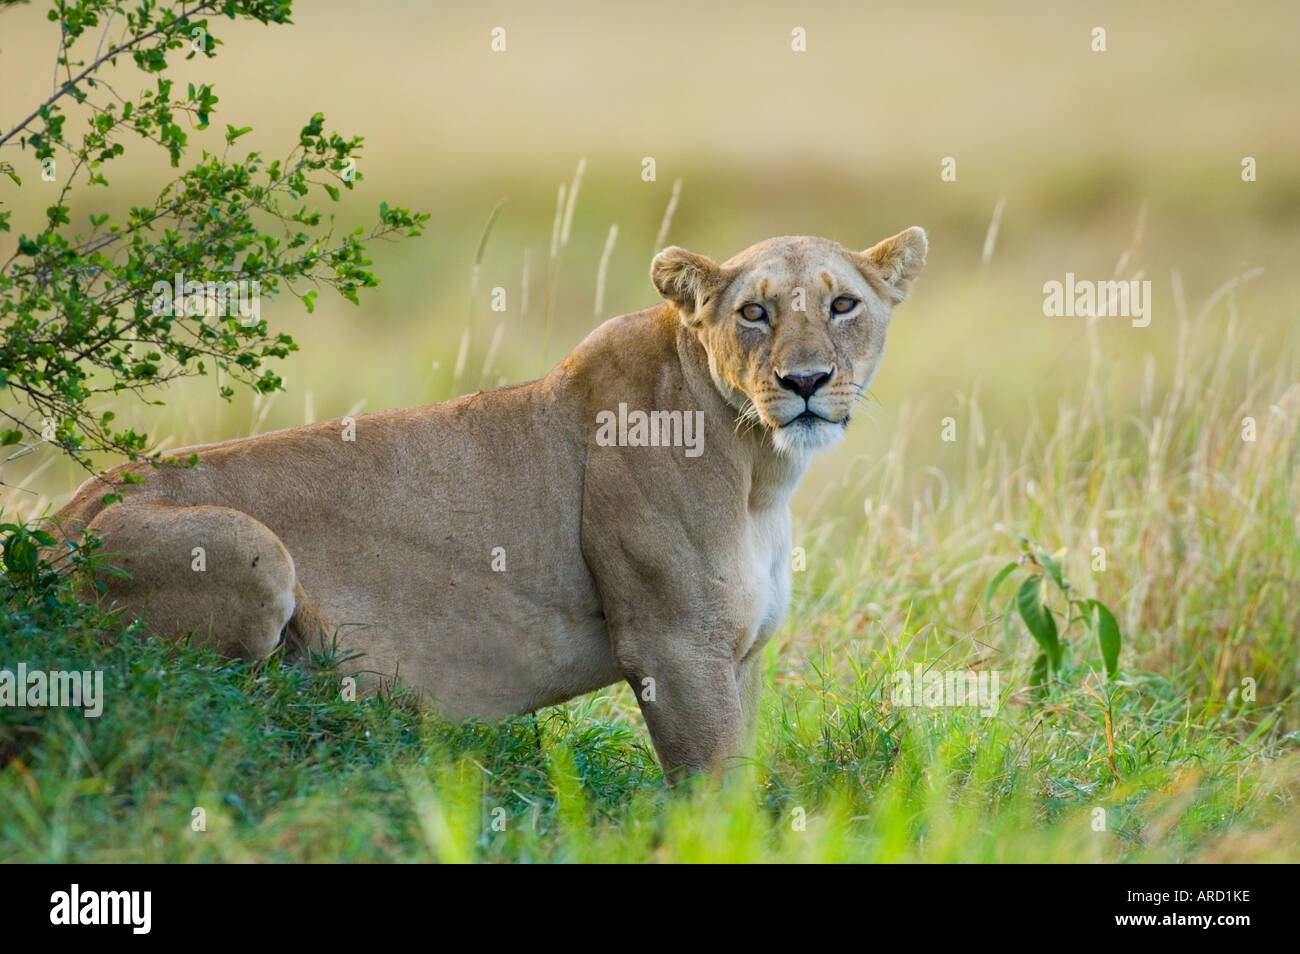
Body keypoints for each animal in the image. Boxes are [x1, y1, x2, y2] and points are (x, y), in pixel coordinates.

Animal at [50, 227, 927, 778]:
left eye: (843, 305)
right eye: (754, 312)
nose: (806, 381)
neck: (759, 471)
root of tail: (56, 524)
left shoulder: (737, 653)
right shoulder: (674, 648)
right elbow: (711, 788)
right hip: (252, 551)